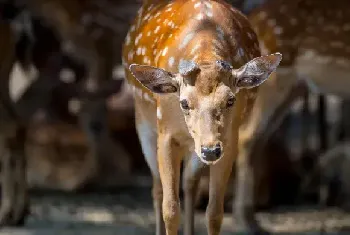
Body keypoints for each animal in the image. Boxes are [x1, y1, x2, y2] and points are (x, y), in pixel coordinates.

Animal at [122, 0, 282, 234]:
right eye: (184, 103)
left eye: (231, 100)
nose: (210, 150)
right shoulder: (166, 133)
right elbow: (170, 210)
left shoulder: (229, 139)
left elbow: (214, 213)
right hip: (144, 123)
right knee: (157, 188)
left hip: (195, 146)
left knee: (190, 184)